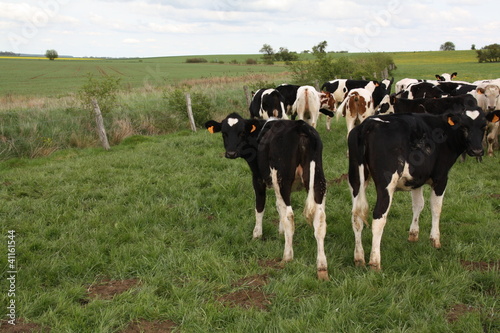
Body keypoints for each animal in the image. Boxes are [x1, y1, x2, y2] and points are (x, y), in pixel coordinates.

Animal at [205, 113, 330, 278]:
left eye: (241, 132)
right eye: (224, 133)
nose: (231, 153)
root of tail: (300, 126)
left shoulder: (258, 178)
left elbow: (260, 207)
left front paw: (256, 235)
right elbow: (278, 206)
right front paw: (281, 232)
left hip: (282, 179)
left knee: (290, 216)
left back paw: (287, 257)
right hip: (318, 180)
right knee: (320, 219)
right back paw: (322, 267)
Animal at [346, 109, 490, 270]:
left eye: (484, 126)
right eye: (464, 127)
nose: (477, 150)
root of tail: (369, 123)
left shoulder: (417, 179)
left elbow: (418, 205)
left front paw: (413, 235)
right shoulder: (441, 177)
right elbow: (436, 208)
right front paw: (435, 240)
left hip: (355, 181)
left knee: (356, 217)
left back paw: (359, 258)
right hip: (386, 184)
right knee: (378, 217)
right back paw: (375, 262)